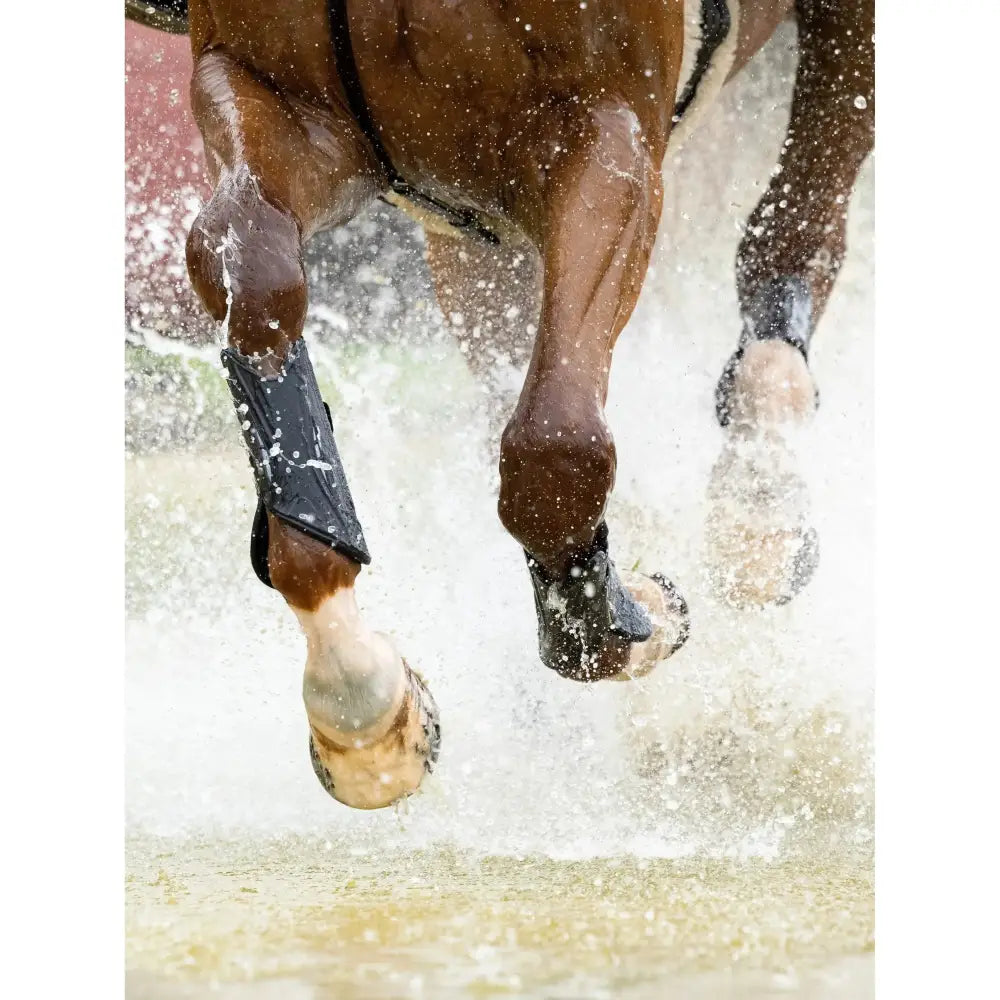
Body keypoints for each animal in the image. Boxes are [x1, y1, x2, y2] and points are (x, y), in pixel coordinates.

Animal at [125, 0, 874, 810]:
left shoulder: (603, 130)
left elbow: (557, 443)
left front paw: (634, 610)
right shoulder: (278, 97)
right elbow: (253, 276)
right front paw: (362, 708)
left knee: (800, 221)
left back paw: (759, 507)